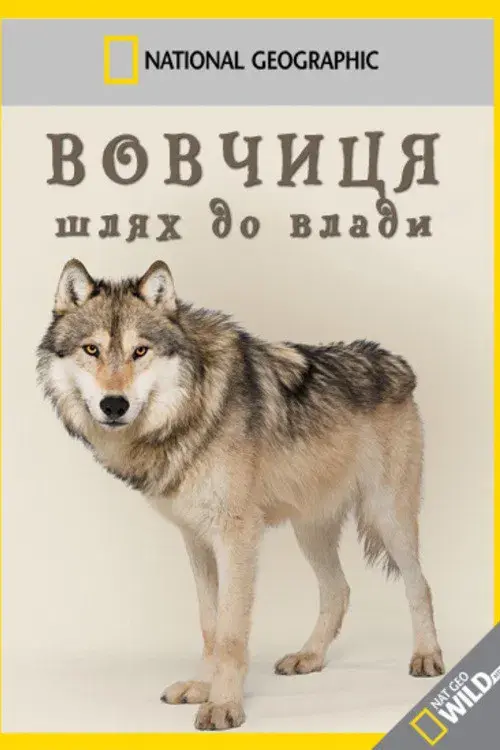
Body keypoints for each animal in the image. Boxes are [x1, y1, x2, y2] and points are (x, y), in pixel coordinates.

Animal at [37, 259, 445, 731]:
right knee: (338, 590)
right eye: (91, 350)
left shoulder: (236, 537)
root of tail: (395, 362)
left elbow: (231, 631)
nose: (114, 404)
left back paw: (427, 656)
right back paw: (309, 657)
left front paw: (224, 706)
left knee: (419, 585)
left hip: (387, 517)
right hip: (311, 530)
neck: (193, 408)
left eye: (140, 351)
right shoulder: (196, 540)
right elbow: (210, 624)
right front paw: (202, 688)